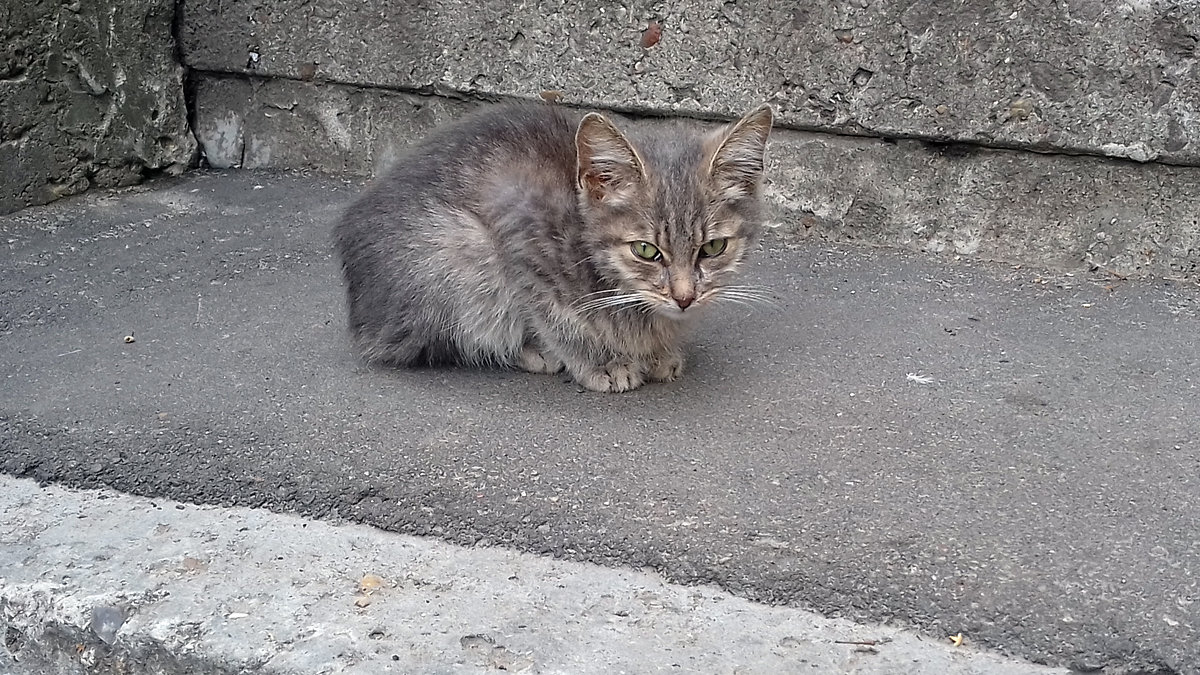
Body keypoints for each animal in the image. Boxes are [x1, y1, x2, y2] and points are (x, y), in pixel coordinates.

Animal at [333, 102, 772, 391]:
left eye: (713, 247)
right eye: (646, 251)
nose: (684, 298)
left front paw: (656, 351)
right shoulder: (519, 237)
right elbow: (557, 318)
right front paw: (601, 361)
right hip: (459, 251)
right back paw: (529, 351)